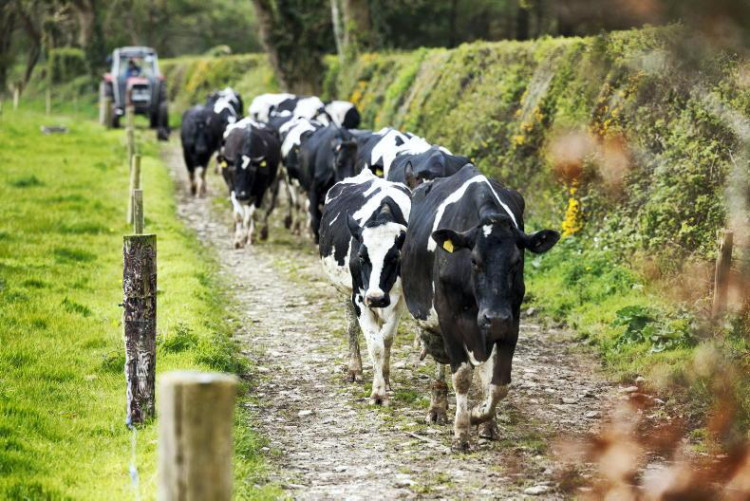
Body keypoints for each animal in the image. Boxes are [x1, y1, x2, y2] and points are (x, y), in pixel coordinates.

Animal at [318, 170, 412, 404]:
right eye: (361, 256)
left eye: (395, 257)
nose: (376, 298)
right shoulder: (359, 297)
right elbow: (375, 344)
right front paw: (378, 393)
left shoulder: (400, 300)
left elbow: (386, 340)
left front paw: (385, 381)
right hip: (345, 292)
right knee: (352, 326)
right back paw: (354, 369)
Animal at [402, 164, 560, 450]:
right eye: (474, 260)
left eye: (516, 261)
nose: (494, 317)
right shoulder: (448, 316)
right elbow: (462, 375)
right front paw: (462, 431)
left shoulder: (511, 320)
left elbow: (499, 384)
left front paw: (480, 417)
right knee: (441, 358)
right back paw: (438, 407)